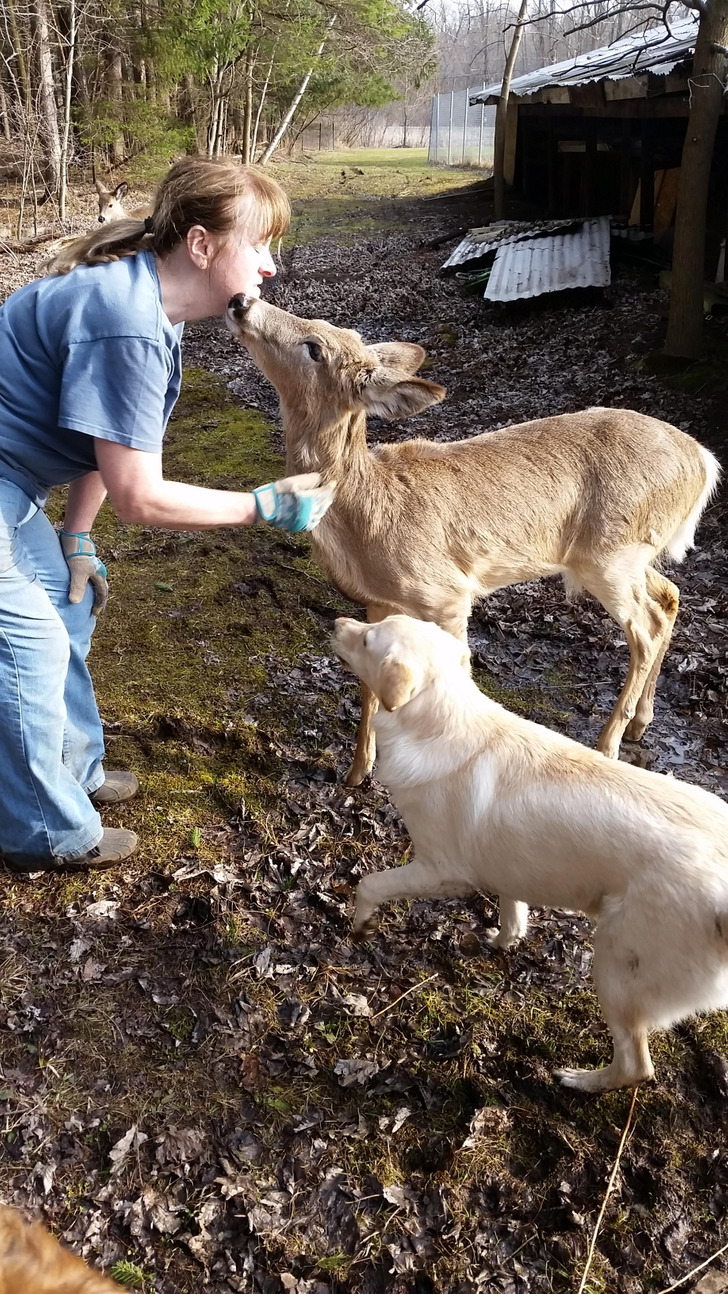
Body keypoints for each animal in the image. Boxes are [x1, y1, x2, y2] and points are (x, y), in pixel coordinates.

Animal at [228, 295, 724, 786]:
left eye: (315, 347)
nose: (241, 300)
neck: (366, 514)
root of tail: (704, 461)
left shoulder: (447, 593)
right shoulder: (378, 601)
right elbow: (368, 684)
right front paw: (356, 771)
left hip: (610, 555)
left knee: (646, 628)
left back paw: (608, 745)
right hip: (632, 554)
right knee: (669, 597)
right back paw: (641, 721)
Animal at [333, 615, 728, 1092]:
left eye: (367, 640)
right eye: (372, 625)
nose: (338, 621)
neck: (440, 722)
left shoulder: (438, 870)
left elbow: (369, 884)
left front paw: (359, 926)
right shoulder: (509, 866)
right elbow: (512, 911)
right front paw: (503, 940)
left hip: (616, 968)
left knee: (637, 1065)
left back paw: (579, 1080)